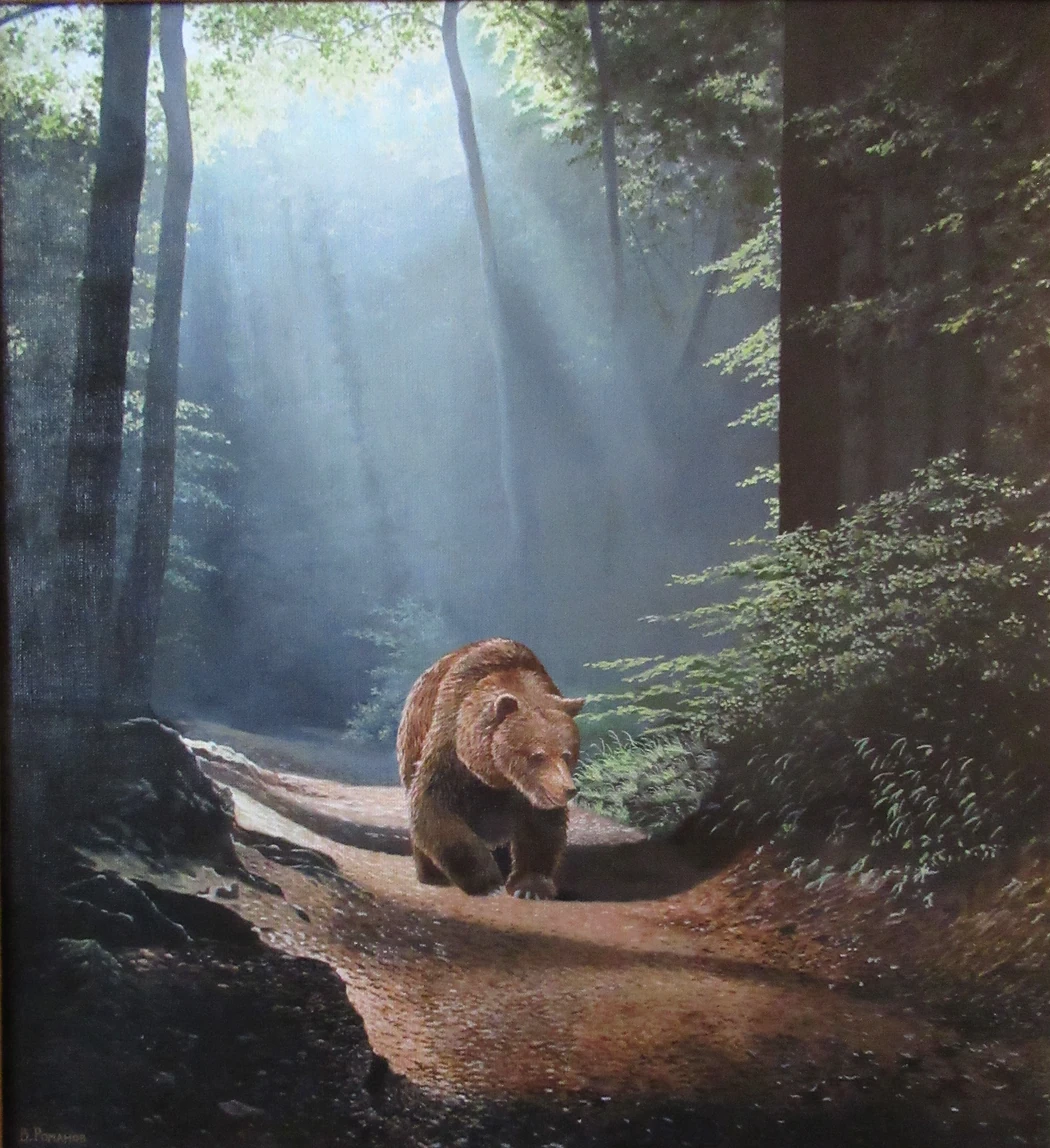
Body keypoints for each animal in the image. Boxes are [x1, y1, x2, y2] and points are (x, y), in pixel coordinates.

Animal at [396, 638, 585, 899]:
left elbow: (541, 826)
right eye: (537, 755)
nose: (567, 789)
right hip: (413, 740)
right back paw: (432, 874)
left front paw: (530, 886)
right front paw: (487, 883)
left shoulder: (530, 791)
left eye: (567, 754)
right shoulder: (450, 751)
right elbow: (433, 805)